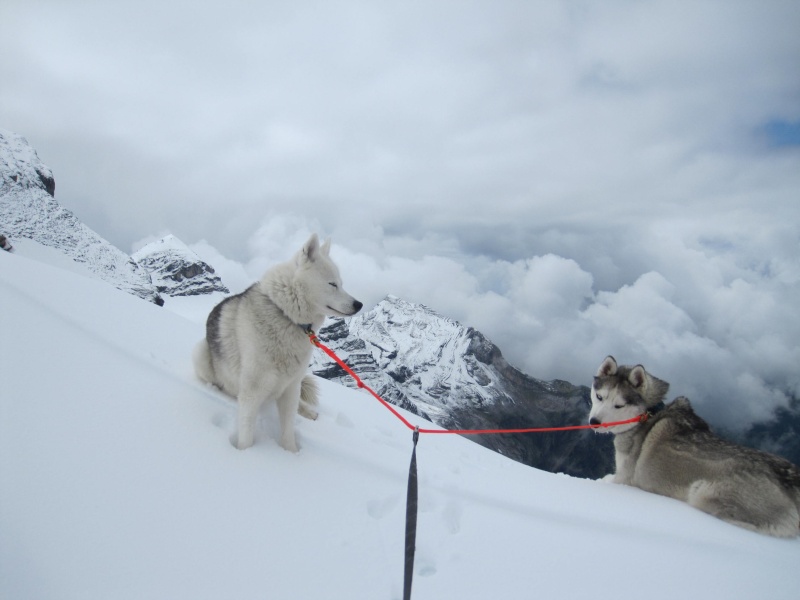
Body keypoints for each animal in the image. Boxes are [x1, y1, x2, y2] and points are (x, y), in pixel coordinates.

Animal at [195, 234, 364, 450]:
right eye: (332, 284)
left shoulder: (291, 388)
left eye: (341, 284)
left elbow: (288, 430)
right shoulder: (251, 392)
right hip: (200, 353)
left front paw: (291, 453)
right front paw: (244, 453)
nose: (359, 304)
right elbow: (246, 432)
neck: (286, 317)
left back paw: (309, 412)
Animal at [588, 356, 800, 540]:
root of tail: (792, 482)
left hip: (704, 491)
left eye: (619, 405)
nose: (594, 422)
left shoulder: (624, 478)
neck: (646, 414)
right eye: (599, 396)